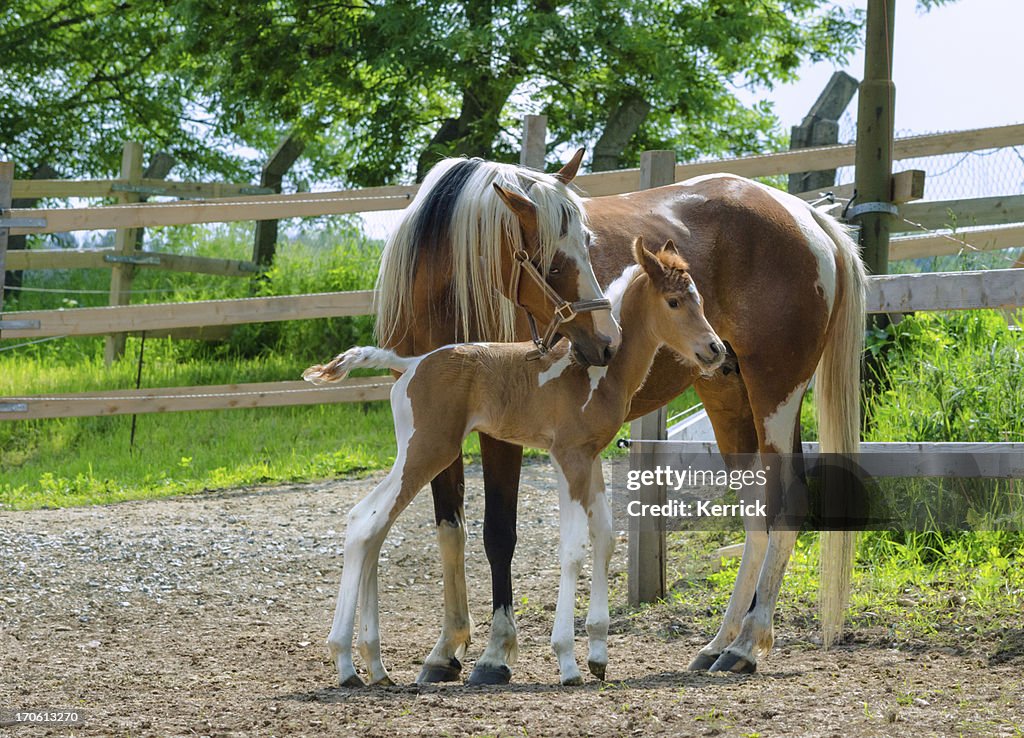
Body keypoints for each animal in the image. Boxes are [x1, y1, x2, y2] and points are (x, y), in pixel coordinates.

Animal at [305, 237, 726, 686]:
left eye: (699, 299)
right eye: (674, 302)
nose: (715, 350)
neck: (594, 371)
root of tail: (412, 364)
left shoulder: (592, 457)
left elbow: (606, 537)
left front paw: (598, 653)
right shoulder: (568, 457)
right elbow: (573, 548)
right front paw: (567, 661)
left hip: (417, 452)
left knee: (369, 525)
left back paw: (374, 665)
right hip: (428, 450)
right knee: (366, 525)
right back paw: (347, 663)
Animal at [375, 162, 867, 682]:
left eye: (587, 244)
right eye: (552, 262)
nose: (607, 339)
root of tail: (807, 216)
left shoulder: (498, 437)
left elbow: (499, 534)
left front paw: (495, 654)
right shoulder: (435, 427)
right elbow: (450, 531)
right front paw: (445, 650)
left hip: (776, 394)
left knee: (786, 506)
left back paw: (747, 645)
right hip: (727, 396)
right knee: (756, 515)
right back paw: (718, 645)